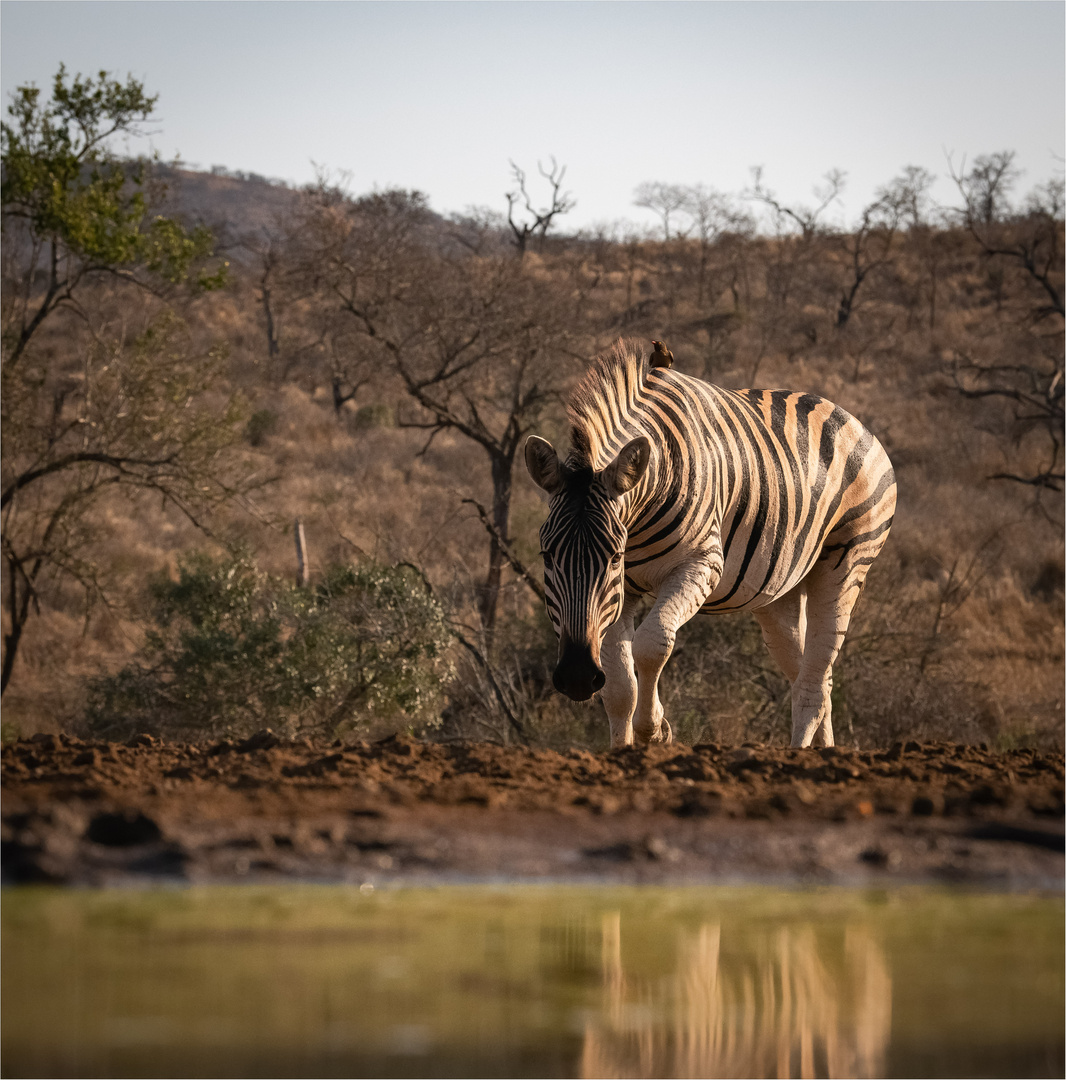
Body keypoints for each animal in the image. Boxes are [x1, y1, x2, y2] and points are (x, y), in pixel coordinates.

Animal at [520, 341, 894, 747]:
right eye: (547, 555)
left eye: (614, 556)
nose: (575, 677)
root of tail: (843, 413)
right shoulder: (621, 592)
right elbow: (620, 688)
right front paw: (624, 749)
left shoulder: (701, 564)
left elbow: (652, 643)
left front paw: (655, 729)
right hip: (780, 592)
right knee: (814, 676)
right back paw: (823, 751)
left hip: (846, 563)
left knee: (814, 679)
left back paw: (800, 756)